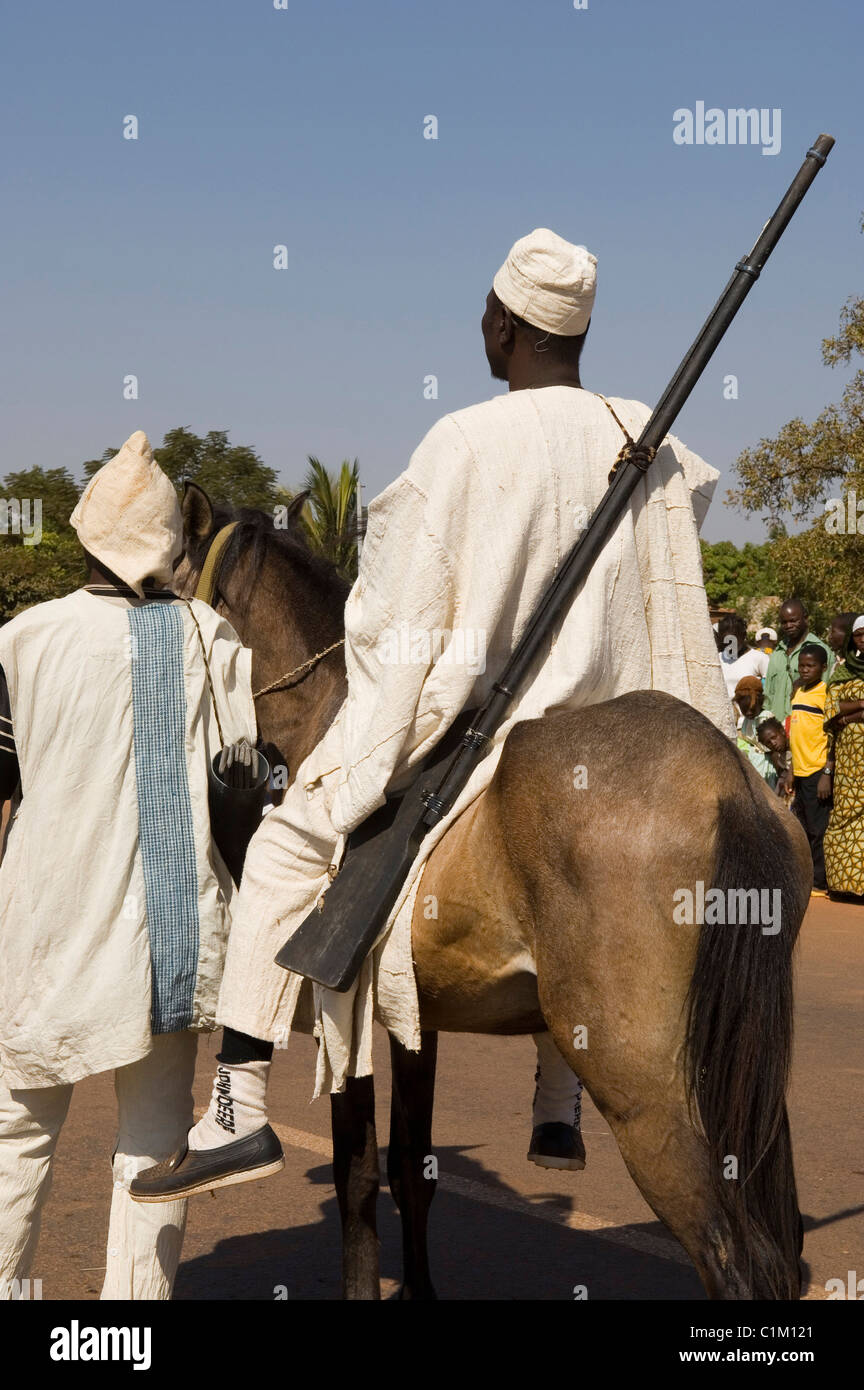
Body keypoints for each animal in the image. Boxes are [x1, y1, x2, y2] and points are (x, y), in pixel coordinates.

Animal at [179, 486, 816, 1301]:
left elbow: (357, 1179)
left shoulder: (338, 1007)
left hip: (649, 1087)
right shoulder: (410, 1013)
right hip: (737, 1066)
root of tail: (726, 778)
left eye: (166, 583)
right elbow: (409, 1169)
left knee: (737, 1258)